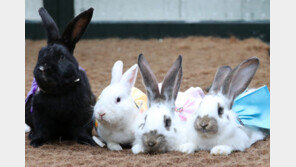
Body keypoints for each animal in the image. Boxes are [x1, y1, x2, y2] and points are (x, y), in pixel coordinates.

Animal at [25, 7, 96, 147]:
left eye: (61, 57)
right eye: (40, 54)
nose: (42, 69)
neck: (59, 92)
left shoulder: (84, 112)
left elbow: (82, 130)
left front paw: (88, 142)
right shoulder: (38, 113)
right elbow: (41, 130)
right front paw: (35, 142)